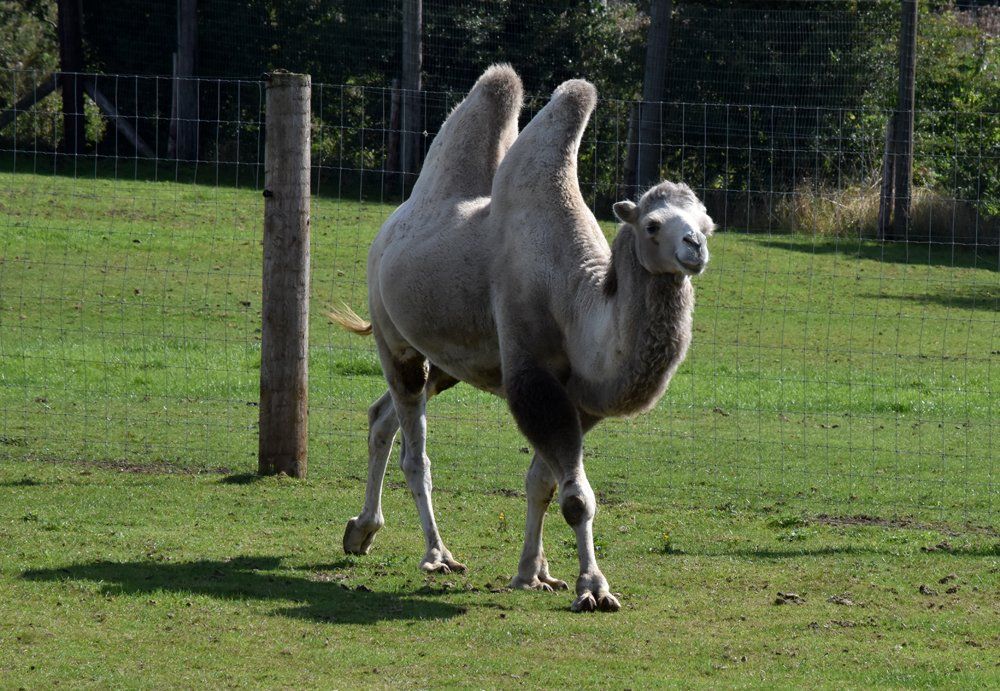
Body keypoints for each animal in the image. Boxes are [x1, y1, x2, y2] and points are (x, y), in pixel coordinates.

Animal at [331, 65, 713, 612]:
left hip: (445, 362)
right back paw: (437, 555)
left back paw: (361, 531)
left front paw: (535, 573)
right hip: (392, 334)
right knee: (413, 446)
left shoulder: (581, 399)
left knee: (381, 416)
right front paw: (593, 587)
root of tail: (388, 230)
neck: (573, 295)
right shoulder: (531, 376)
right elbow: (576, 497)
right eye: (654, 223)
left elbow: (542, 483)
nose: (695, 246)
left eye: (707, 222)